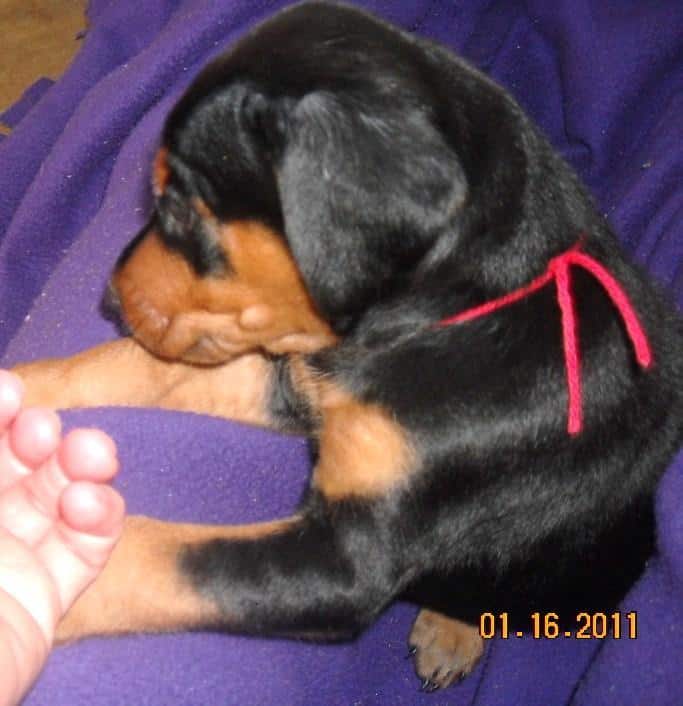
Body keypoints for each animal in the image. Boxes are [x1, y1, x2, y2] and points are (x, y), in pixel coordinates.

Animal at [16, 0, 683, 692]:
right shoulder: (288, 381)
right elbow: (112, 368)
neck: (445, 314)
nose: (109, 301)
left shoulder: (344, 563)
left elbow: (159, 560)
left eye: (176, 205)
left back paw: (452, 628)